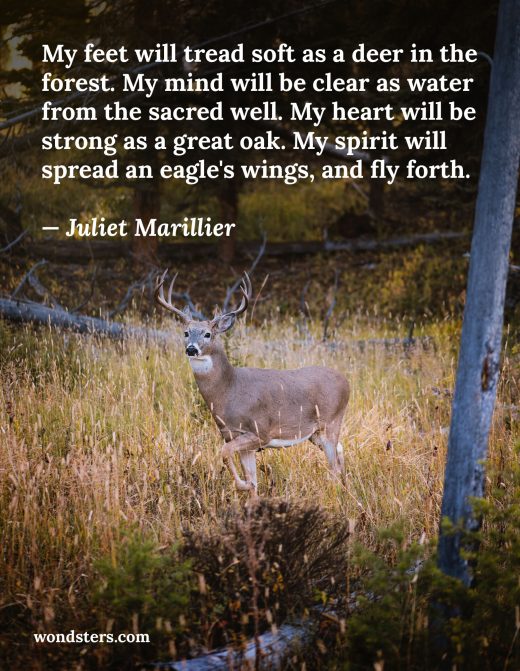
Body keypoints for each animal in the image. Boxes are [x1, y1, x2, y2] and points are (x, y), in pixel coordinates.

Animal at [155, 271, 350, 496]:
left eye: (208, 334)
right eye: (186, 333)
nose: (191, 349)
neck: (229, 390)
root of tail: (347, 382)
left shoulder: (260, 432)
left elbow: (225, 453)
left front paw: (243, 485)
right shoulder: (234, 436)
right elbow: (252, 479)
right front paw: (251, 494)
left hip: (331, 422)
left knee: (334, 465)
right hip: (315, 433)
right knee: (340, 452)